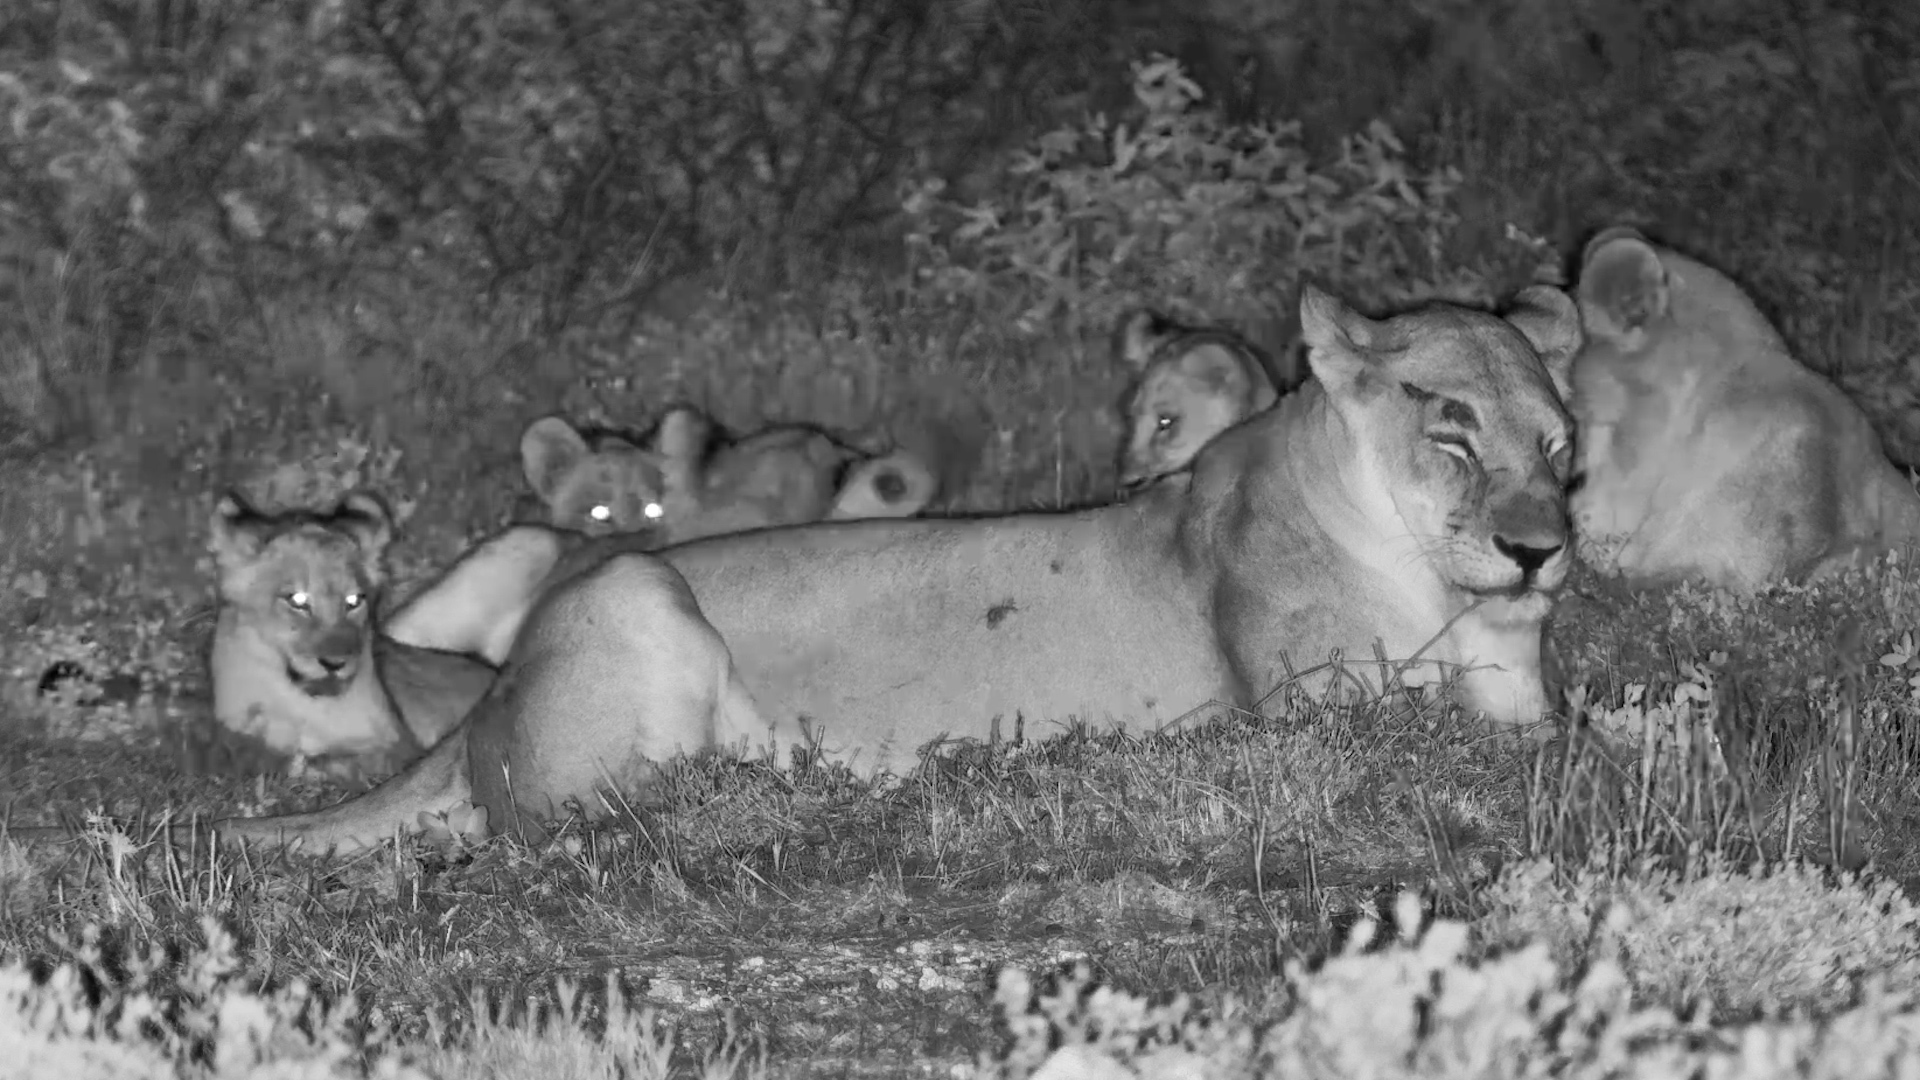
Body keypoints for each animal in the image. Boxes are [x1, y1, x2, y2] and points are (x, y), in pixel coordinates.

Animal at [205, 490, 496, 778]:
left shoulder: (402, 748)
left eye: (354, 601)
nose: (335, 664)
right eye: (297, 600)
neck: (304, 708)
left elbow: (347, 761)